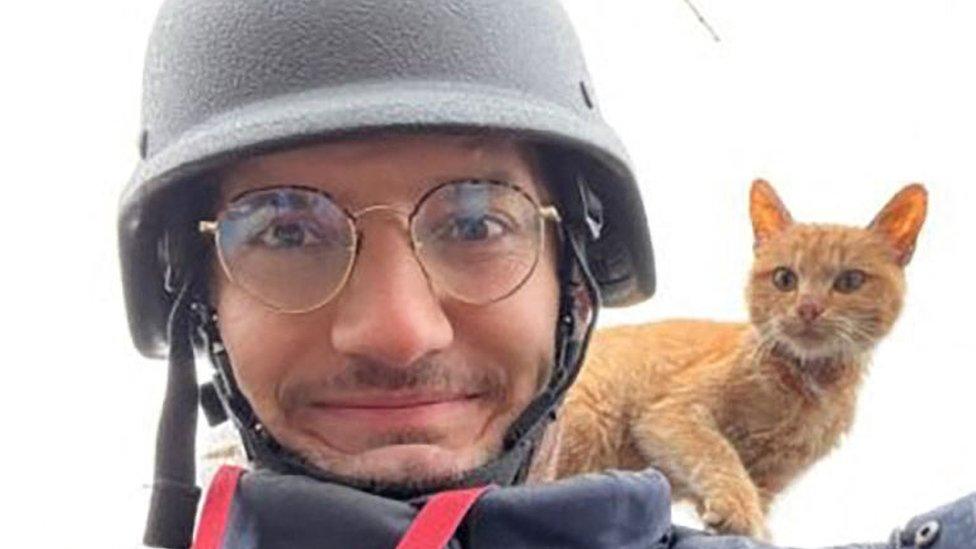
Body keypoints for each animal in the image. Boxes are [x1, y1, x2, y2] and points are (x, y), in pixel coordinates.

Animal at [556, 179, 932, 536]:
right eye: (785, 278)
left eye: (850, 281)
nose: (808, 308)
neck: (808, 387)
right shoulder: (670, 414)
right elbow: (719, 453)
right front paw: (738, 509)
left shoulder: (769, 479)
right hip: (591, 421)